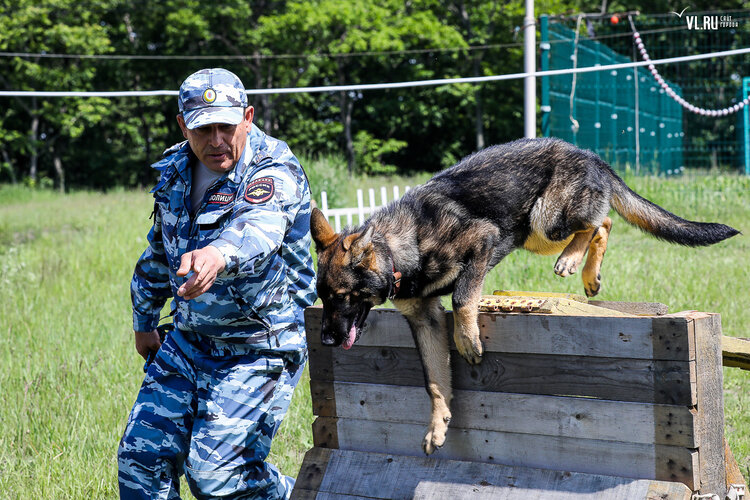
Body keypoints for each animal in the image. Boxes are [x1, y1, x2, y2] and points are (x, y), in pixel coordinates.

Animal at [310, 136, 740, 454]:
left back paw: (573, 261)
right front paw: (438, 423)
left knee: (597, 221)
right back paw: (589, 274)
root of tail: (590, 156)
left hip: (545, 219)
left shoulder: (482, 239)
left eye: (342, 295)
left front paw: (467, 339)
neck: (399, 249)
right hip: (533, 233)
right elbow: (434, 380)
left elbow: (463, 296)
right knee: (604, 223)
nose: (326, 339)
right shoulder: (424, 319)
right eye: (323, 297)